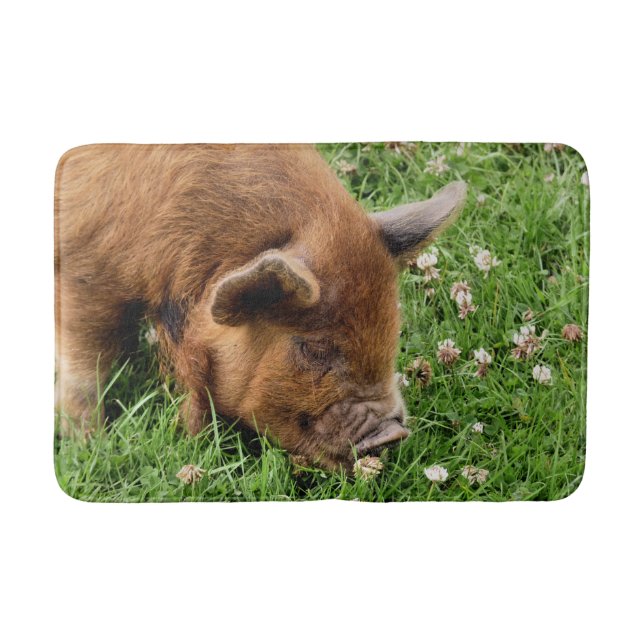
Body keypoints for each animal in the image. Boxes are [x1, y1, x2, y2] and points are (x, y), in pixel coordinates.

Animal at [55, 144, 466, 470]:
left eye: (392, 331)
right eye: (313, 348)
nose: (393, 433)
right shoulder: (86, 273)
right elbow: (86, 367)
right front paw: (88, 442)